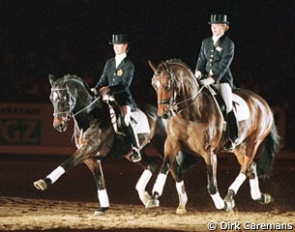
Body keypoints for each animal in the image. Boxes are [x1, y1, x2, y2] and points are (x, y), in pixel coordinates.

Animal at [33, 73, 198, 215]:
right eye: (51, 98)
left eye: (64, 98)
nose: (58, 125)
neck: (90, 117)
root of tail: (164, 113)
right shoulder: (91, 157)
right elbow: (99, 180)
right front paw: (103, 207)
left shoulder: (88, 149)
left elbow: (67, 163)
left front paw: (43, 182)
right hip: (131, 152)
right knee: (151, 164)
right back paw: (147, 198)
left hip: (161, 145)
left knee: (174, 168)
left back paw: (181, 204)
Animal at [149, 59, 280, 213]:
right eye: (154, 85)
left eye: (167, 85)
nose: (163, 114)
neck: (190, 113)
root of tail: (263, 103)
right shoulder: (172, 144)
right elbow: (167, 169)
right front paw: (157, 197)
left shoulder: (209, 152)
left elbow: (211, 185)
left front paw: (222, 205)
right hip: (239, 146)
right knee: (251, 167)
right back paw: (259, 196)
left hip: (253, 142)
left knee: (245, 168)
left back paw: (229, 197)